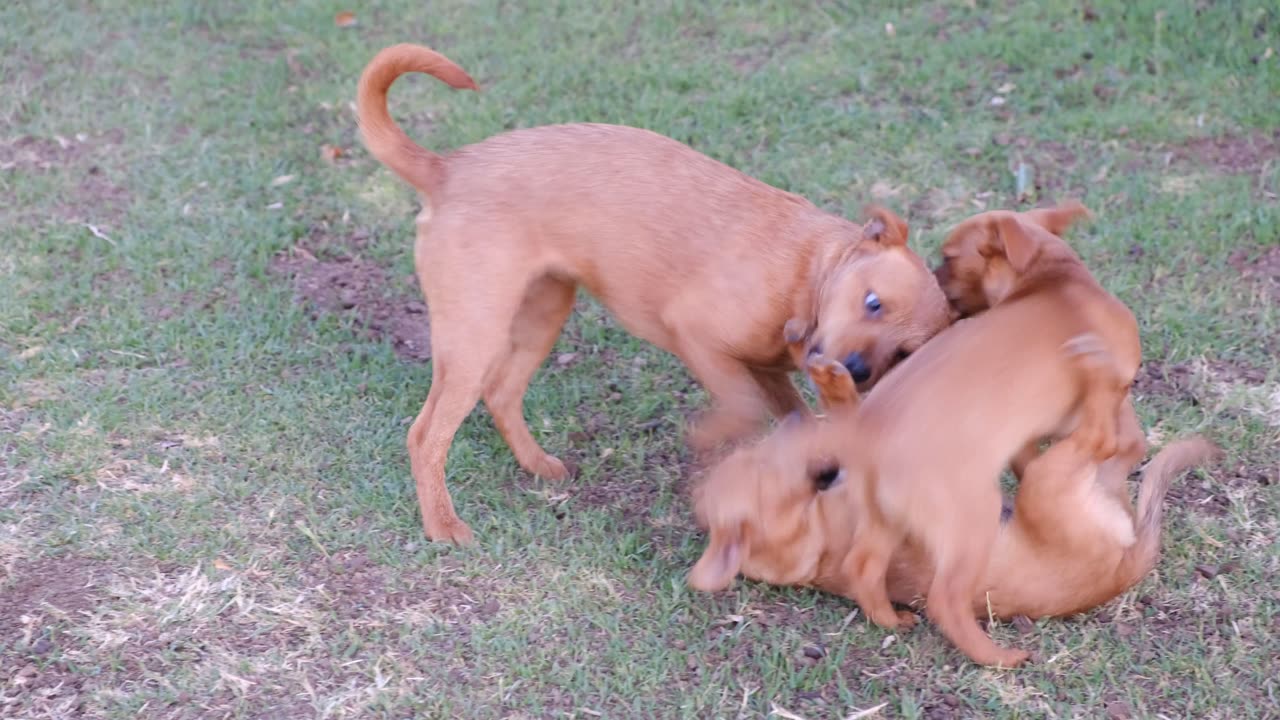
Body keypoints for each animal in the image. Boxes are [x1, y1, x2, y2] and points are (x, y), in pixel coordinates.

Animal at [358, 41, 952, 540]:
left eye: (903, 353)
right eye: (872, 302)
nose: (856, 371)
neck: (807, 273)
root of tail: (446, 169)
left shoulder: (771, 372)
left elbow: (792, 417)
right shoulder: (696, 334)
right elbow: (741, 405)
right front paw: (706, 438)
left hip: (541, 313)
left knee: (501, 394)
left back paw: (539, 466)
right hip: (474, 334)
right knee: (426, 434)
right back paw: (443, 525)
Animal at [691, 353, 1218, 622]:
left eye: (752, 455)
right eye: (765, 464)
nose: (790, 422)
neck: (812, 536)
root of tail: (1126, 568)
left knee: (1125, 448)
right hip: (1048, 483)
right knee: (1108, 437)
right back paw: (1098, 373)